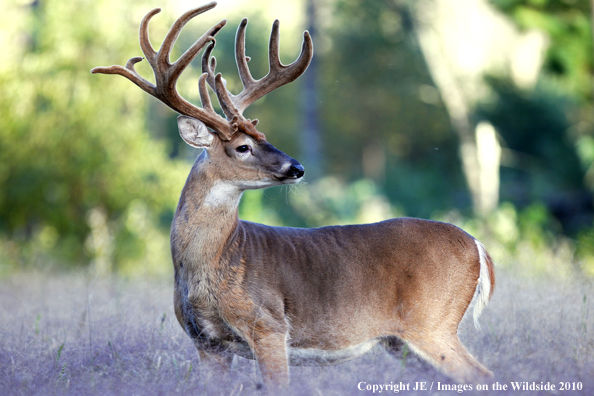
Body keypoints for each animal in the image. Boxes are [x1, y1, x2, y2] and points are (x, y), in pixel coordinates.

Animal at [92, 1, 492, 388]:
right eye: (243, 146)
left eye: (264, 136)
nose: (296, 167)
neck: (210, 264)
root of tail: (477, 246)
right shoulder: (207, 344)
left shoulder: (269, 326)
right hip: (402, 341)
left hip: (432, 323)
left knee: (483, 374)